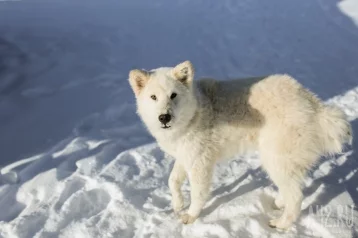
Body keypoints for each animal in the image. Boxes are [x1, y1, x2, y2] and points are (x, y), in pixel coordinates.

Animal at [128, 61, 350, 229]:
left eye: (173, 95)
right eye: (153, 97)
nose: (164, 117)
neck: (195, 112)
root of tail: (315, 106)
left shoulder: (200, 163)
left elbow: (198, 194)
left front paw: (190, 216)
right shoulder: (185, 156)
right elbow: (172, 181)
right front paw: (177, 204)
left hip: (274, 159)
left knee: (296, 197)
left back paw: (281, 224)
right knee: (293, 188)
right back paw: (279, 202)